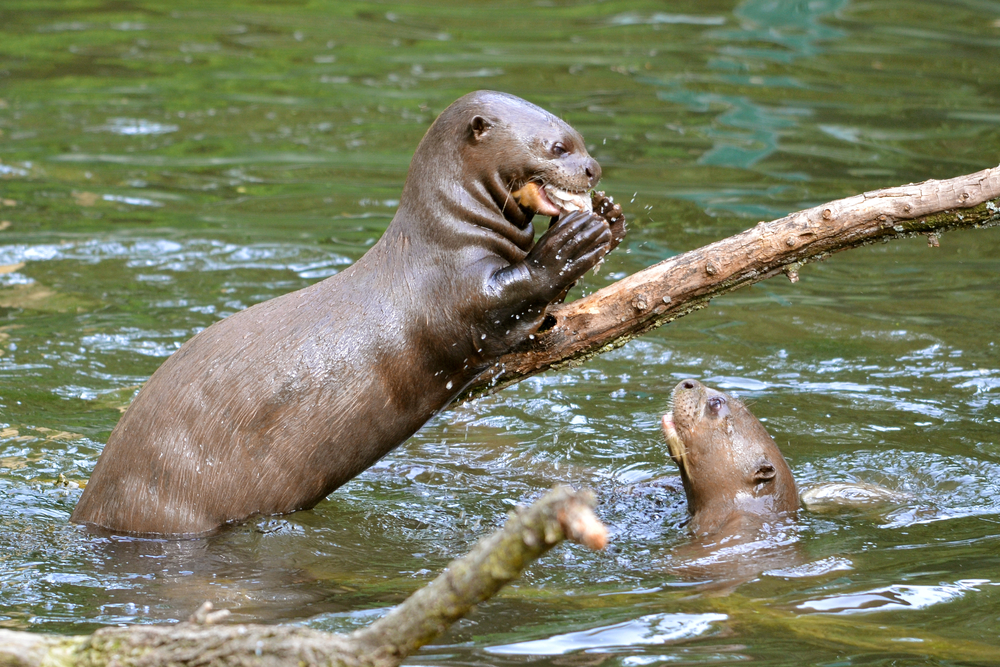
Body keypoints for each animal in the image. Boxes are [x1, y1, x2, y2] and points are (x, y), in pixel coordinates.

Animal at [74, 90, 624, 536]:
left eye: (580, 140)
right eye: (558, 147)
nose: (594, 168)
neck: (450, 233)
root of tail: (91, 510)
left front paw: (611, 219)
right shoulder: (455, 289)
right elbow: (506, 303)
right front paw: (573, 242)